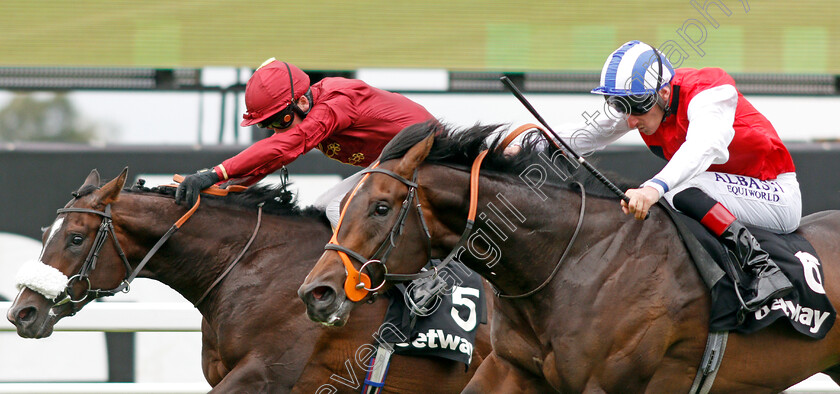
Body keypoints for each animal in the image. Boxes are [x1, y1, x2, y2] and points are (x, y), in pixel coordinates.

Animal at [300, 121, 840, 392]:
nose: (316, 293)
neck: (571, 260)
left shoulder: (608, 386)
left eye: (381, 207)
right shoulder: (512, 369)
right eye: (342, 203)